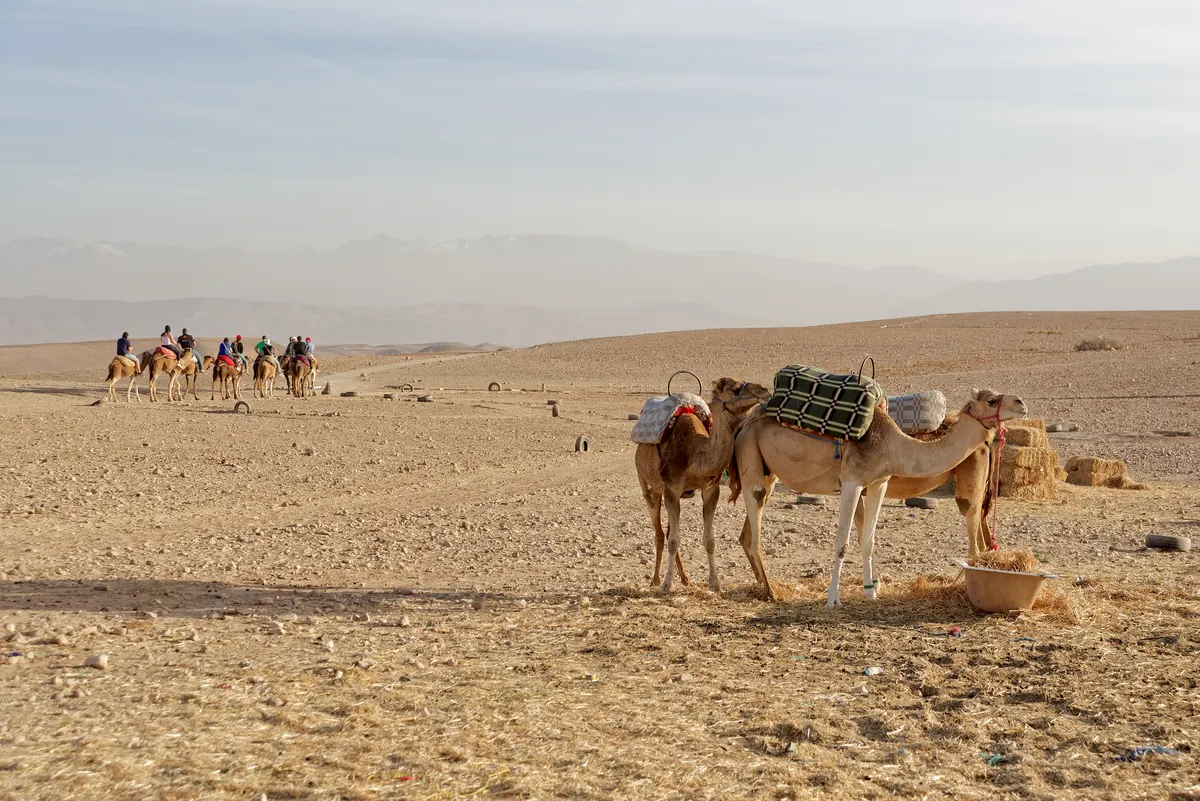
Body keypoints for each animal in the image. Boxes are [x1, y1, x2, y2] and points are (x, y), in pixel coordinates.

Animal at [635, 377, 771, 595]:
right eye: (735, 389)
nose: (764, 390)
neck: (694, 454)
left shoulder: (710, 490)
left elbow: (709, 540)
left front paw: (715, 584)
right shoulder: (671, 489)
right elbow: (673, 541)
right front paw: (666, 584)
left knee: (668, 532)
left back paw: (685, 579)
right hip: (649, 487)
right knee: (659, 533)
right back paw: (656, 580)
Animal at [730, 388, 1026, 607]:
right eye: (991, 400)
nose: (1021, 403)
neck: (895, 445)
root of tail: (745, 423)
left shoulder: (878, 483)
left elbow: (868, 540)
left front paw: (871, 592)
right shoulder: (851, 482)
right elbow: (842, 543)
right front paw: (833, 599)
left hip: (768, 472)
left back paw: (763, 588)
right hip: (750, 455)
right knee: (754, 528)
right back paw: (771, 592)